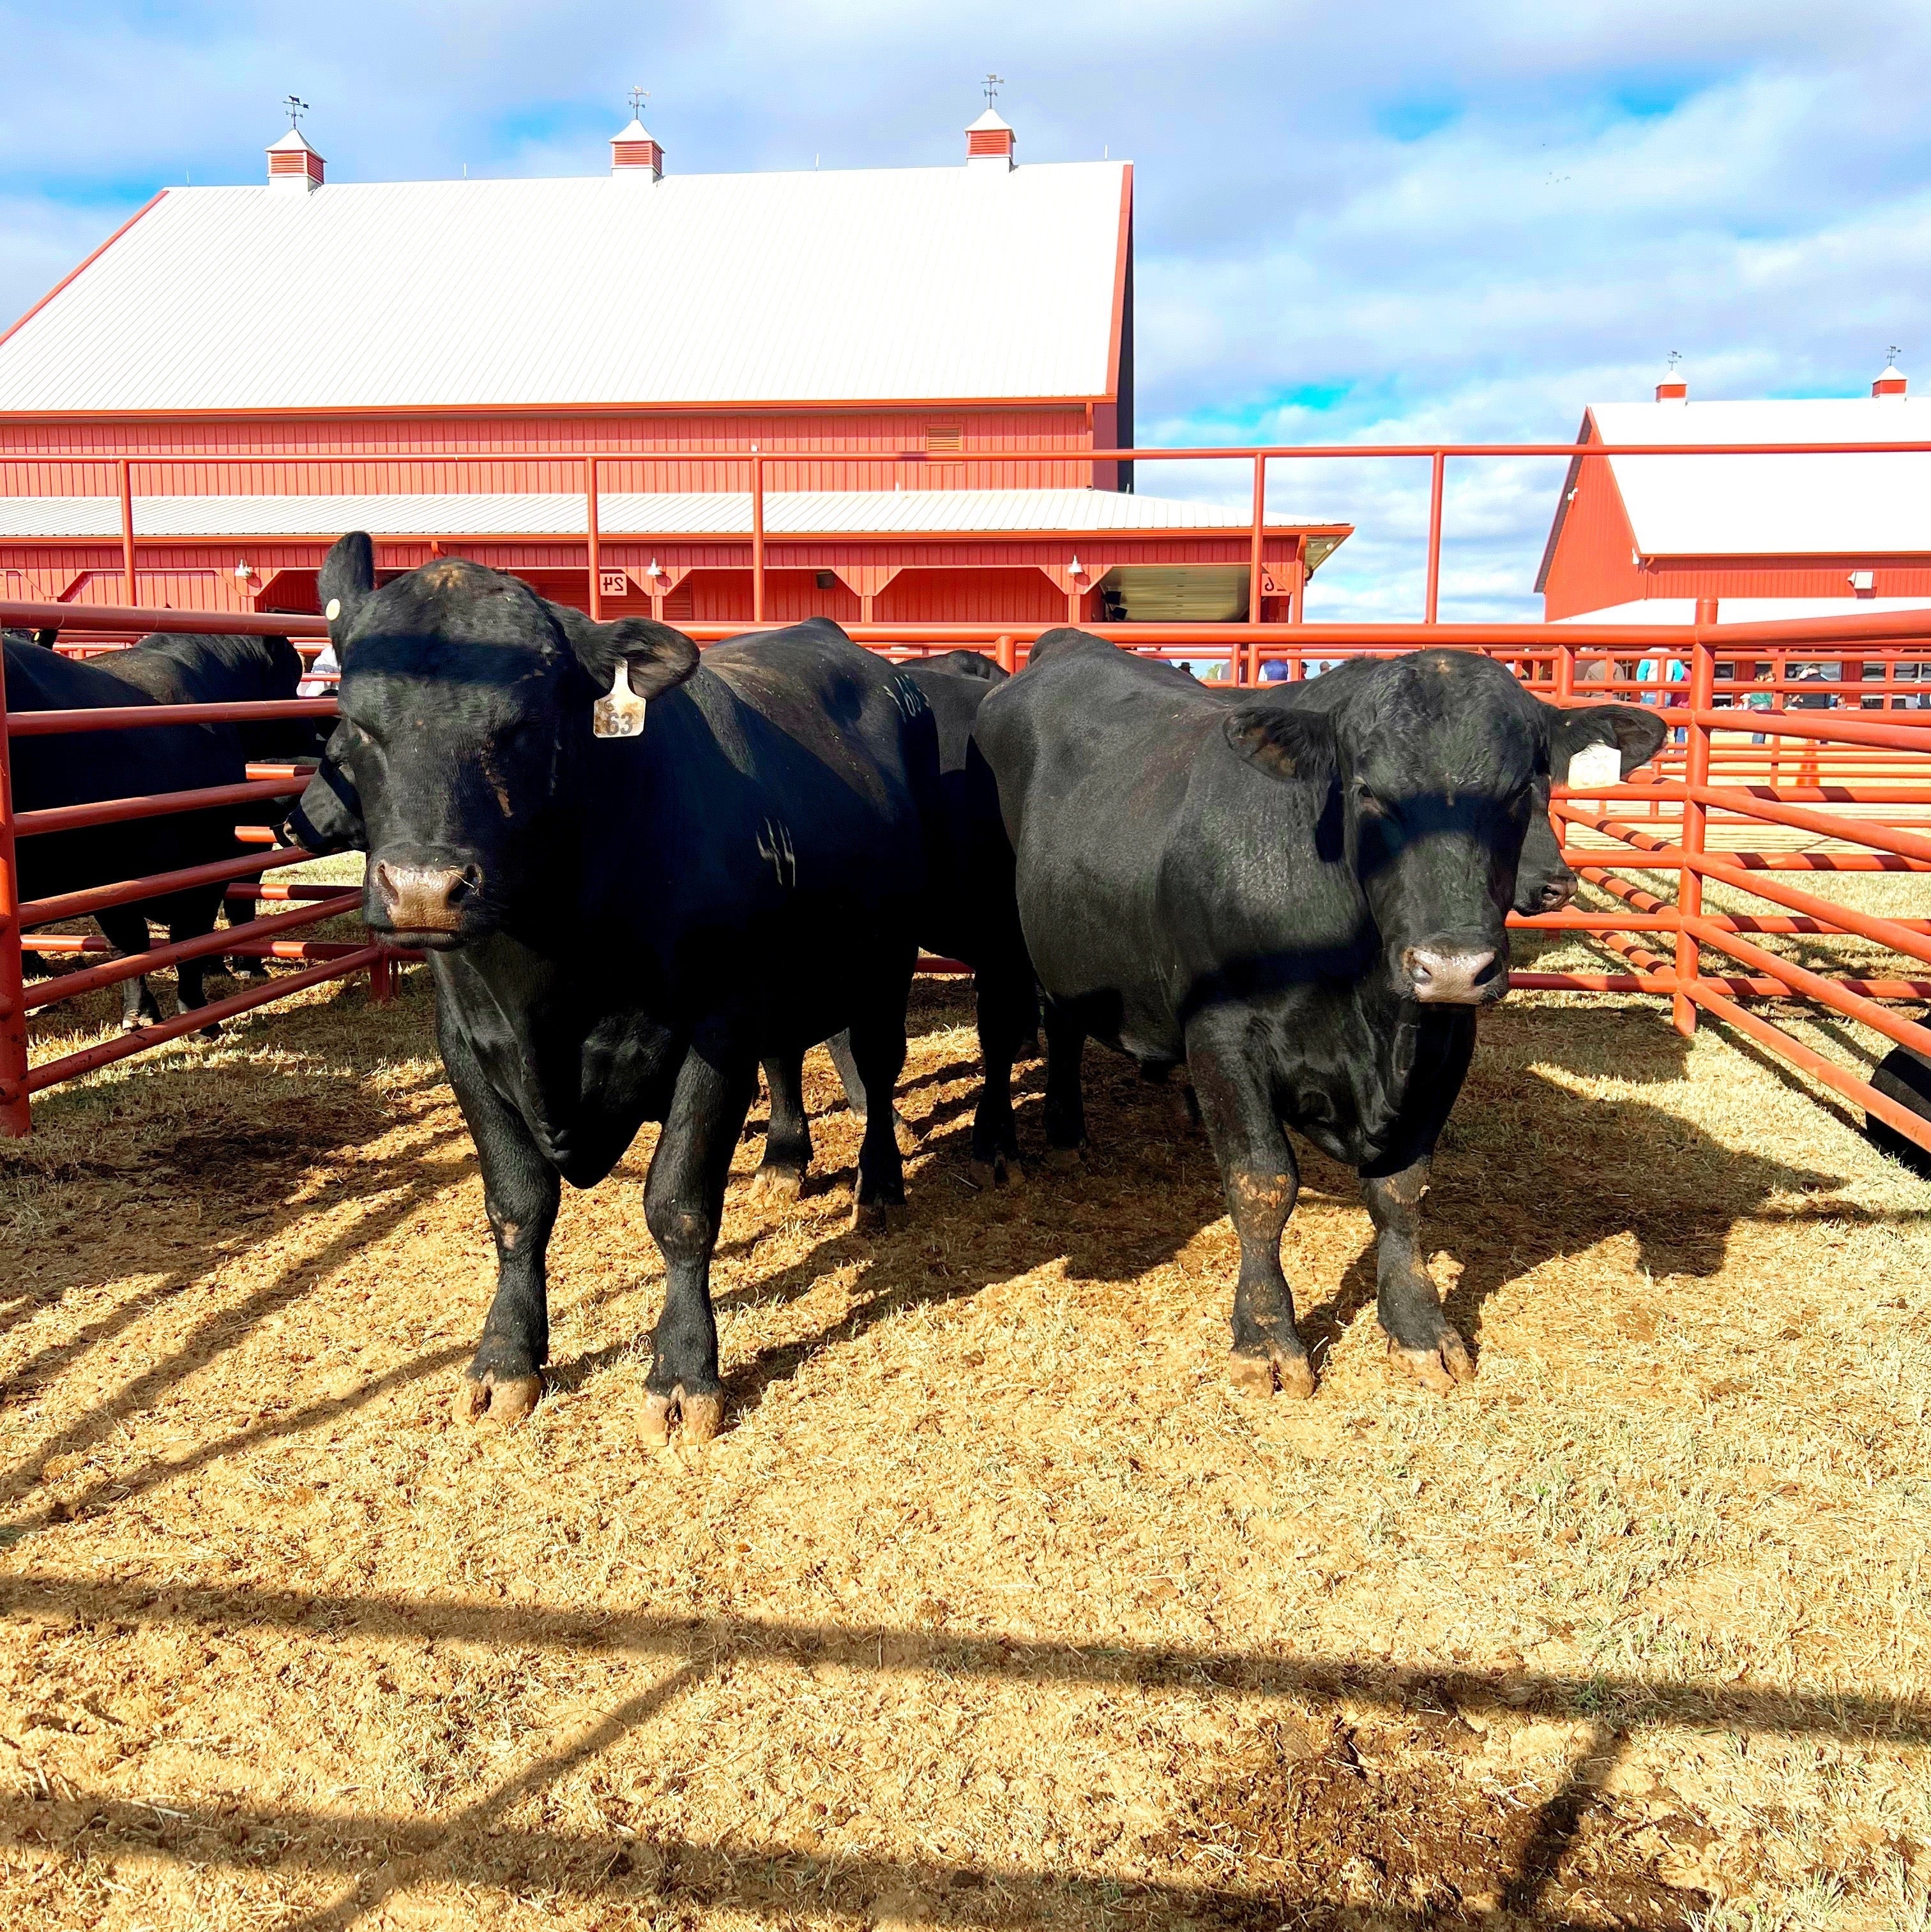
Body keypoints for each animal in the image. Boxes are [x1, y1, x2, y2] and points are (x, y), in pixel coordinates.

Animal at [293, 534, 934, 1440]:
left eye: (524, 726)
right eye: (355, 725)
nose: (423, 888)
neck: (550, 976)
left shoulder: (716, 1032)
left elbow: (680, 1204)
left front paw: (685, 1371)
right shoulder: (466, 1045)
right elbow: (518, 1204)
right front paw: (504, 1360)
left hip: (887, 961)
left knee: (876, 1070)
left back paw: (877, 1185)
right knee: (789, 1057)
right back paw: (783, 1157)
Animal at [975, 631, 1665, 1399]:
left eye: (1523, 793)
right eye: (1368, 793)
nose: (1454, 964)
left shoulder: (1446, 1039)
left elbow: (1402, 1190)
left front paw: (1418, 1327)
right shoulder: (1222, 1034)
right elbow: (1262, 1183)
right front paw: (1267, 1338)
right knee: (1009, 1028)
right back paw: (1014, 1141)